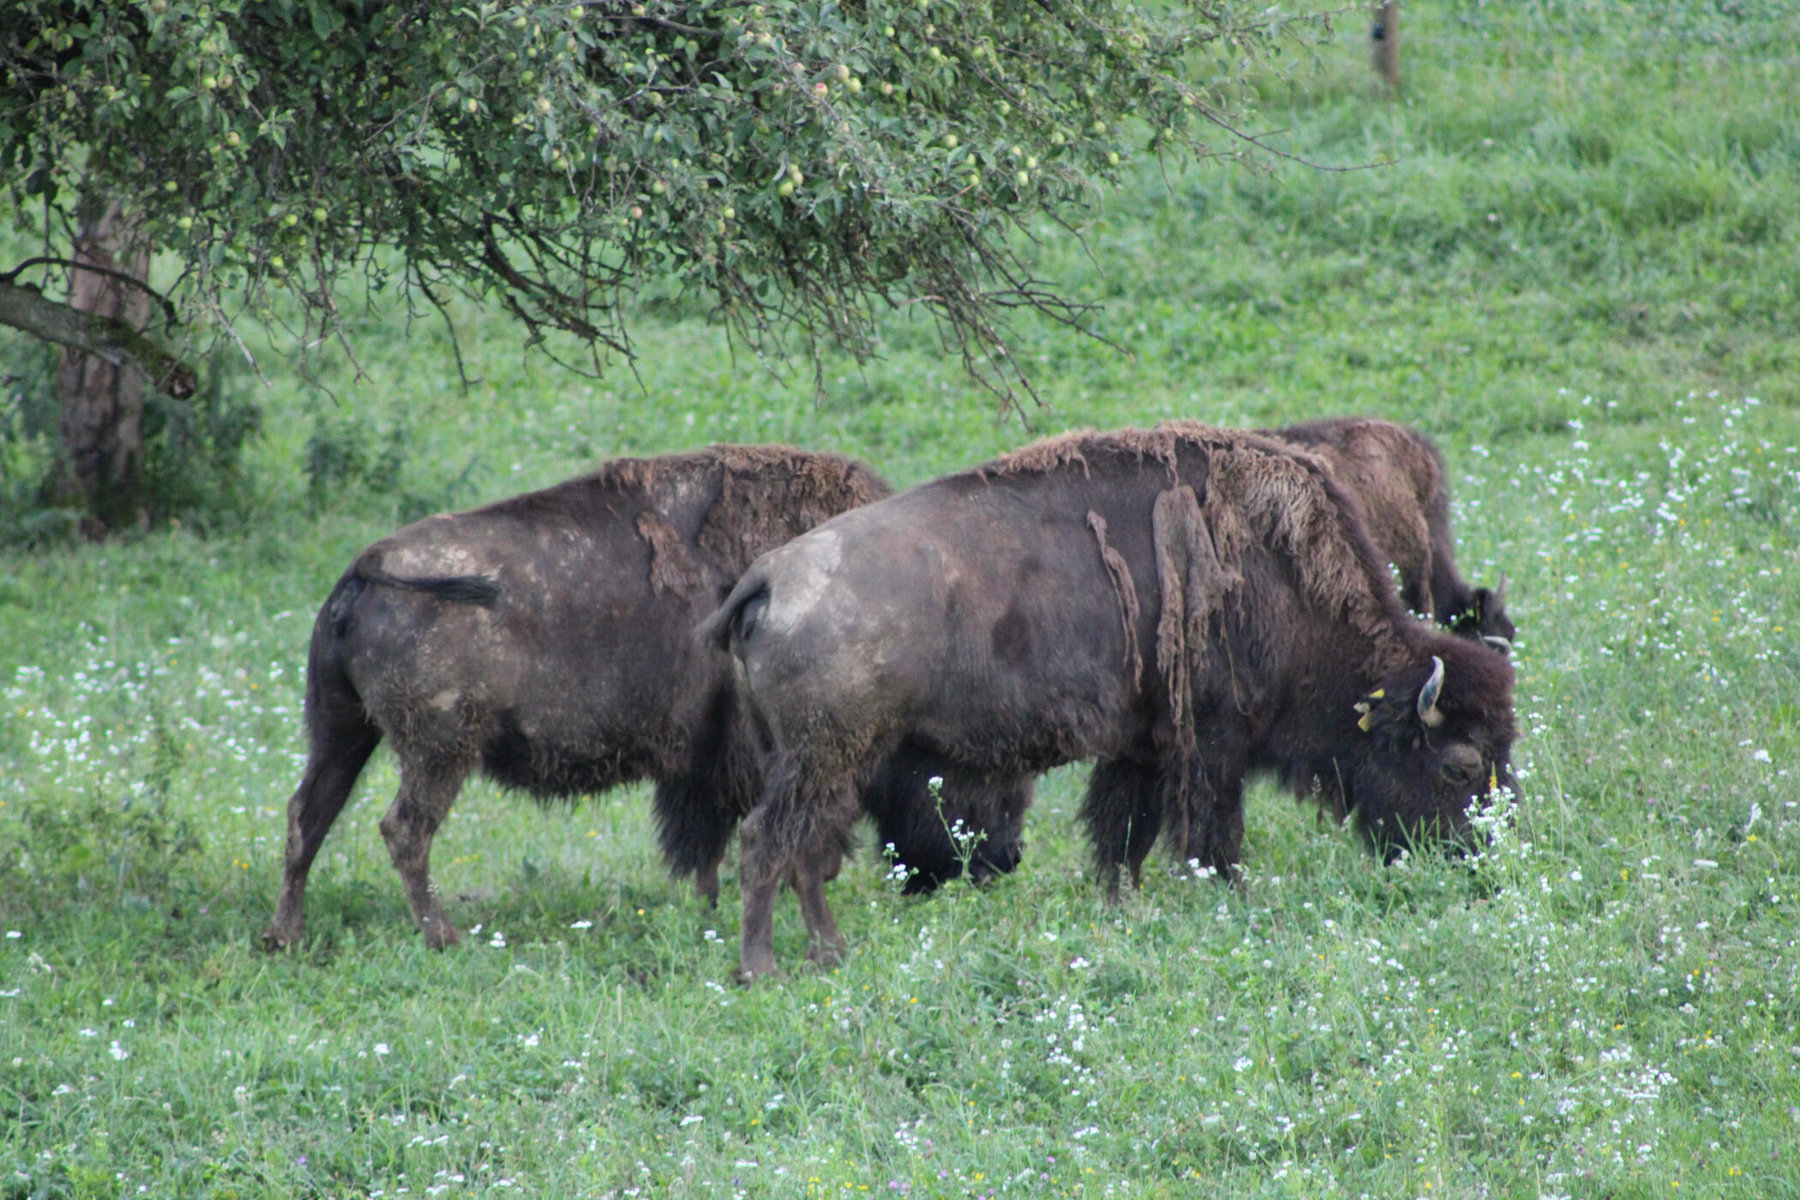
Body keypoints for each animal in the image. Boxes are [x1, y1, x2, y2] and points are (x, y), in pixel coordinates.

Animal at [264, 446, 1029, 949]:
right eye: (974, 770)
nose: (1002, 861)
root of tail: (367, 566)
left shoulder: (708, 766)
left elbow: (706, 839)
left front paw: (710, 906)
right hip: (438, 750)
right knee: (403, 830)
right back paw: (444, 936)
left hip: (343, 730)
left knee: (309, 814)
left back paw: (286, 937)